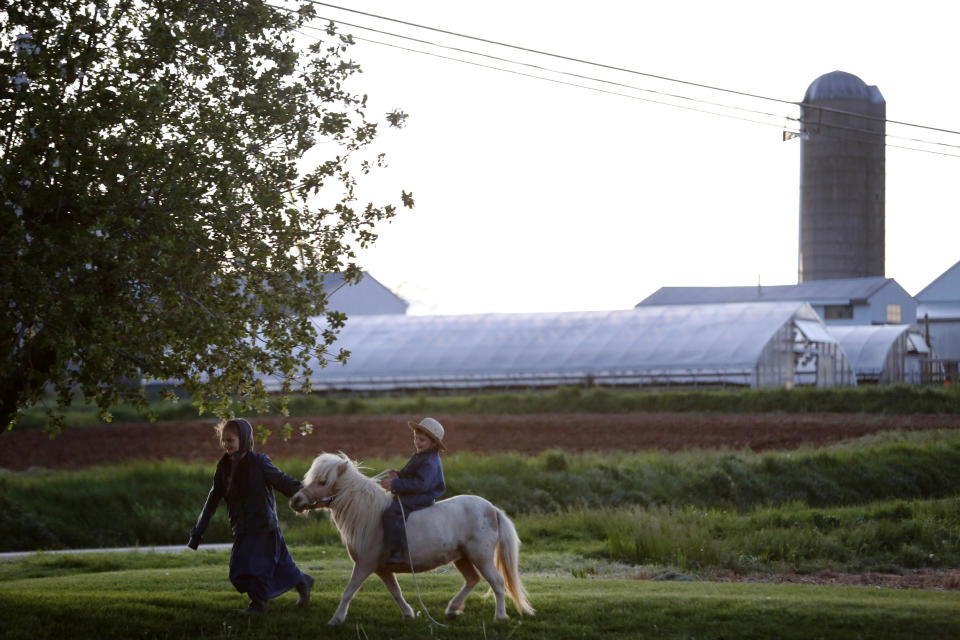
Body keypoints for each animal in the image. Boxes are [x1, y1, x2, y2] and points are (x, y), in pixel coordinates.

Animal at [288, 450, 536, 624]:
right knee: (472, 580)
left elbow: (348, 592)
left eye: (322, 482)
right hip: (462, 557)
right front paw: (408, 614)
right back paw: (452, 609)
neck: (368, 515)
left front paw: (336, 620)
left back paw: (499, 616)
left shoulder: (365, 564)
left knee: (497, 582)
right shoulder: (382, 569)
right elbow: (396, 592)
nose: (295, 501)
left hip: (480, 556)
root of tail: (492, 509)